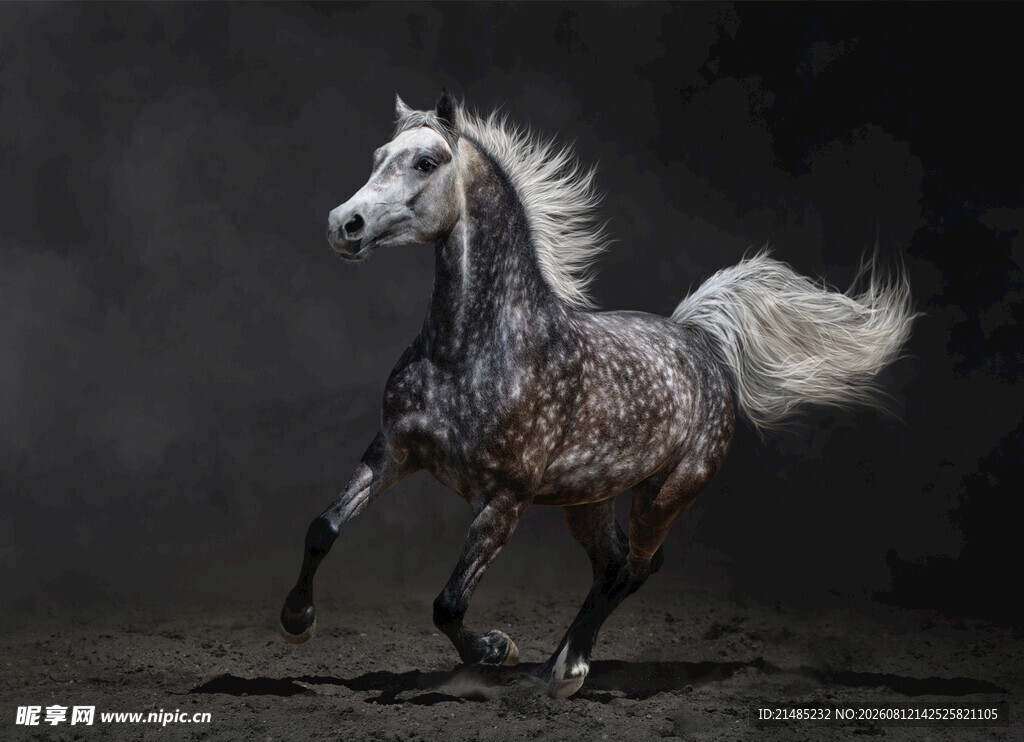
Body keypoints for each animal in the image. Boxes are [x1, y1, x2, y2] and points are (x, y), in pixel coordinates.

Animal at [279, 92, 915, 698]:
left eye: (426, 162)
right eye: (378, 157)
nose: (345, 223)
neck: (470, 351)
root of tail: (698, 339)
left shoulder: (505, 499)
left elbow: (449, 605)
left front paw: (497, 651)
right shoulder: (393, 452)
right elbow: (322, 528)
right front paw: (296, 621)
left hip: (664, 493)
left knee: (636, 568)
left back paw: (565, 670)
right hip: (589, 500)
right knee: (611, 567)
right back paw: (558, 665)